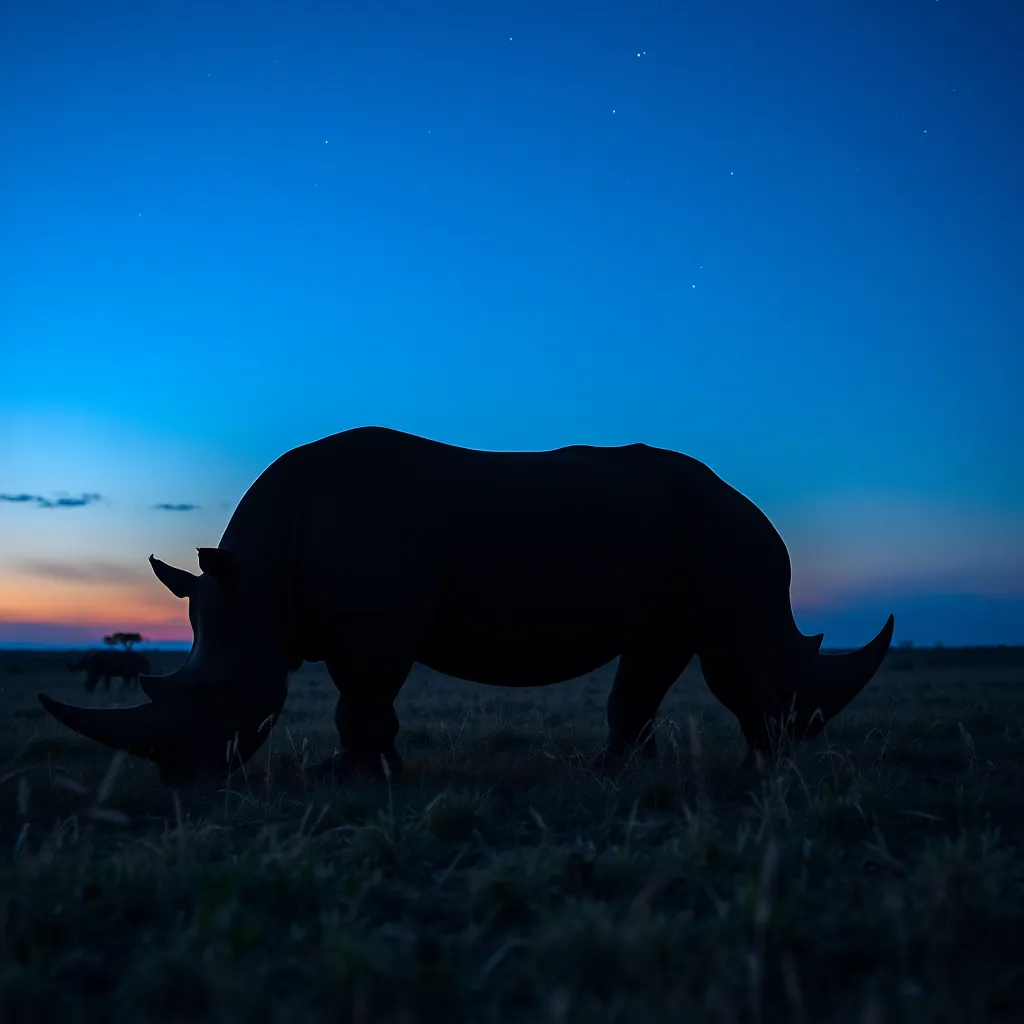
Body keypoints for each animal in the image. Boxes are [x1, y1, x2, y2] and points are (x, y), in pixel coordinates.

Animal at [39, 426, 894, 786]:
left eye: (221, 693)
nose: (183, 780)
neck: (260, 580)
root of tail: (744, 503)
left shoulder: (373, 629)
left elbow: (361, 701)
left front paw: (358, 779)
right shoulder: (672, 615)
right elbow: (637, 688)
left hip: (712, 541)